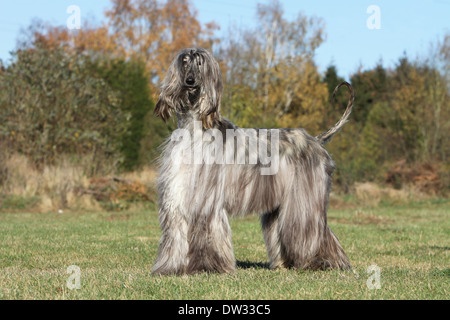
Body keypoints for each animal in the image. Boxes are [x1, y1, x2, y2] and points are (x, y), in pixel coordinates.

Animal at [153, 47, 354, 276]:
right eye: (185, 62)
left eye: (201, 64)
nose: (190, 81)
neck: (194, 130)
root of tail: (316, 139)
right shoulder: (177, 198)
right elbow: (175, 235)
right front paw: (170, 268)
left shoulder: (206, 201)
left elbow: (207, 235)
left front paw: (208, 267)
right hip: (280, 204)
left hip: (305, 199)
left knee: (315, 230)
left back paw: (324, 262)